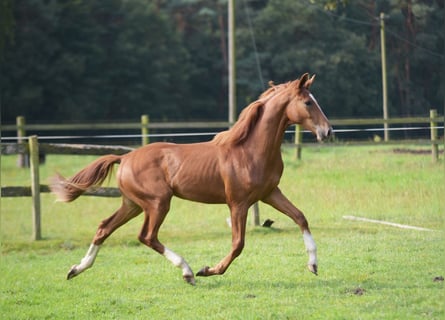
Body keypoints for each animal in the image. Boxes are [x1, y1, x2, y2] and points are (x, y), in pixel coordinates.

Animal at [50, 73, 332, 284]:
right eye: (308, 102)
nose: (328, 131)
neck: (250, 149)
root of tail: (125, 158)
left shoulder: (270, 193)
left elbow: (300, 217)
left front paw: (313, 265)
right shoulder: (238, 203)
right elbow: (238, 243)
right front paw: (208, 270)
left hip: (133, 204)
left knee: (104, 228)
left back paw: (76, 269)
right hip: (158, 202)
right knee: (146, 236)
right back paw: (187, 271)